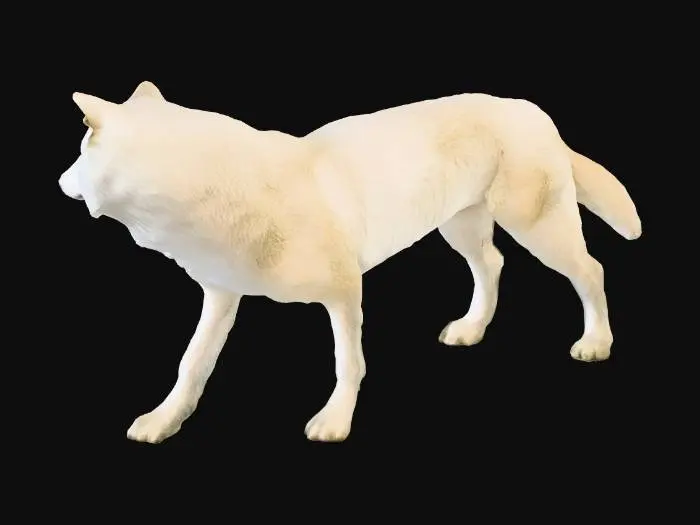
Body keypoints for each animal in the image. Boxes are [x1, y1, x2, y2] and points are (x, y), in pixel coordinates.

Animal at [58, 81, 641, 444]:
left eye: (82, 149)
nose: (60, 180)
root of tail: (526, 105)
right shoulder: (221, 296)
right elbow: (191, 363)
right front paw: (164, 420)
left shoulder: (344, 294)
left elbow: (347, 361)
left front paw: (335, 421)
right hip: (458, 227)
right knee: (492, 264)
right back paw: (472, 327)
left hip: (537, 229)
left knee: (591, 271)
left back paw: (596, 342)